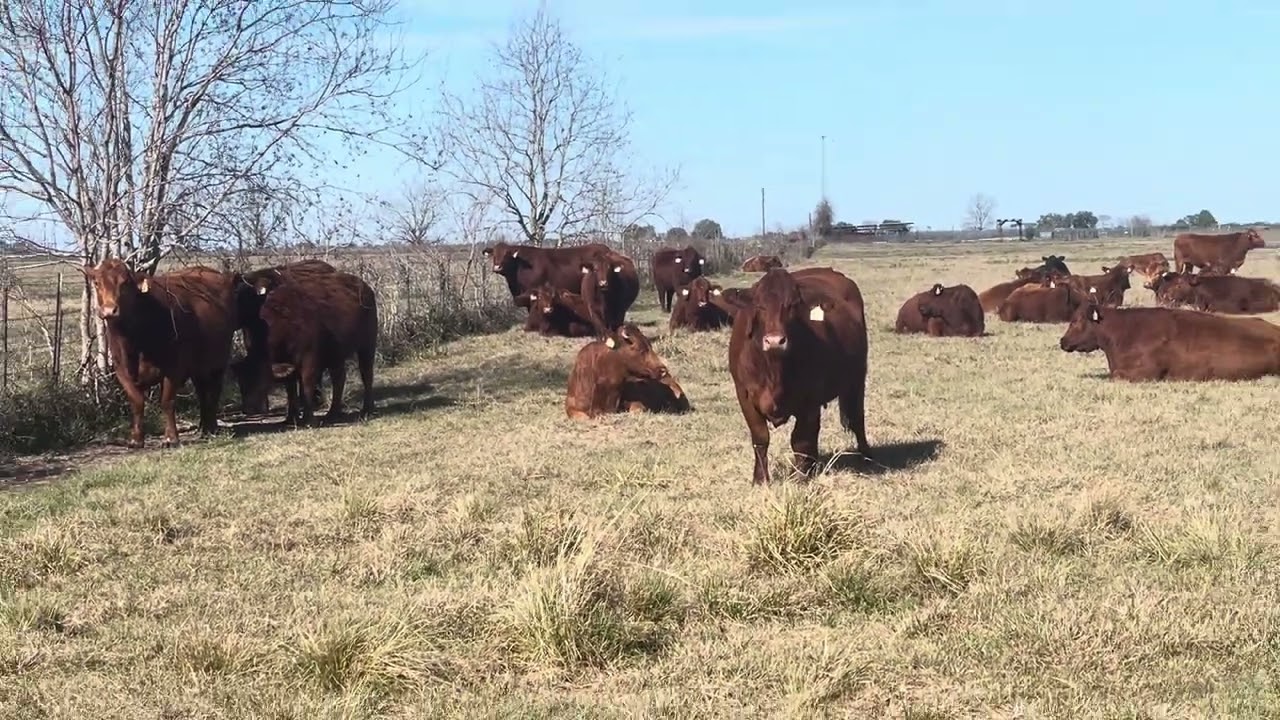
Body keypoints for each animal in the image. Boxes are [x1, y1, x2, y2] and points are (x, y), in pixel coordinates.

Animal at [84, 259, 237, 449]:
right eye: (97, 283)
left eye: (125, 283)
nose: (109, 310)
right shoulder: (121, 371)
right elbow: (137, 402)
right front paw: (136, 439)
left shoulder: (174, 367)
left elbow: (167, 401)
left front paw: (171, 438)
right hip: (198, 366)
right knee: (202, 392)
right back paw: (203, 428)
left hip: (218, 361)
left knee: (213, 391)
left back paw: (212, 427)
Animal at [235, 270, 378, 427]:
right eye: (241, 382)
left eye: (259, 378)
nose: (249, 409)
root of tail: (365, 287)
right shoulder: (287, 362)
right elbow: (290, 389)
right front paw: (291, 417)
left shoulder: (310, 360)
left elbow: (307, 385)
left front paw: (309, 419)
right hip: (335, 355)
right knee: (339, 379)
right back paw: (332, 413)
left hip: (367, 345)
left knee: (366, 374)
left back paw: (367, 409)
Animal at [726, 267, 873, 484]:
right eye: (759, 306)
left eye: (792, 306)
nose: (775, 341)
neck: (774, 370)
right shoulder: (744, 395)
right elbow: (760, 438)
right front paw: (760, 479)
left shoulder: (810, 399)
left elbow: (801, 440)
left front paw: (801, 477)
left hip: (857, 378)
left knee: (857, 418)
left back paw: (866, 455)